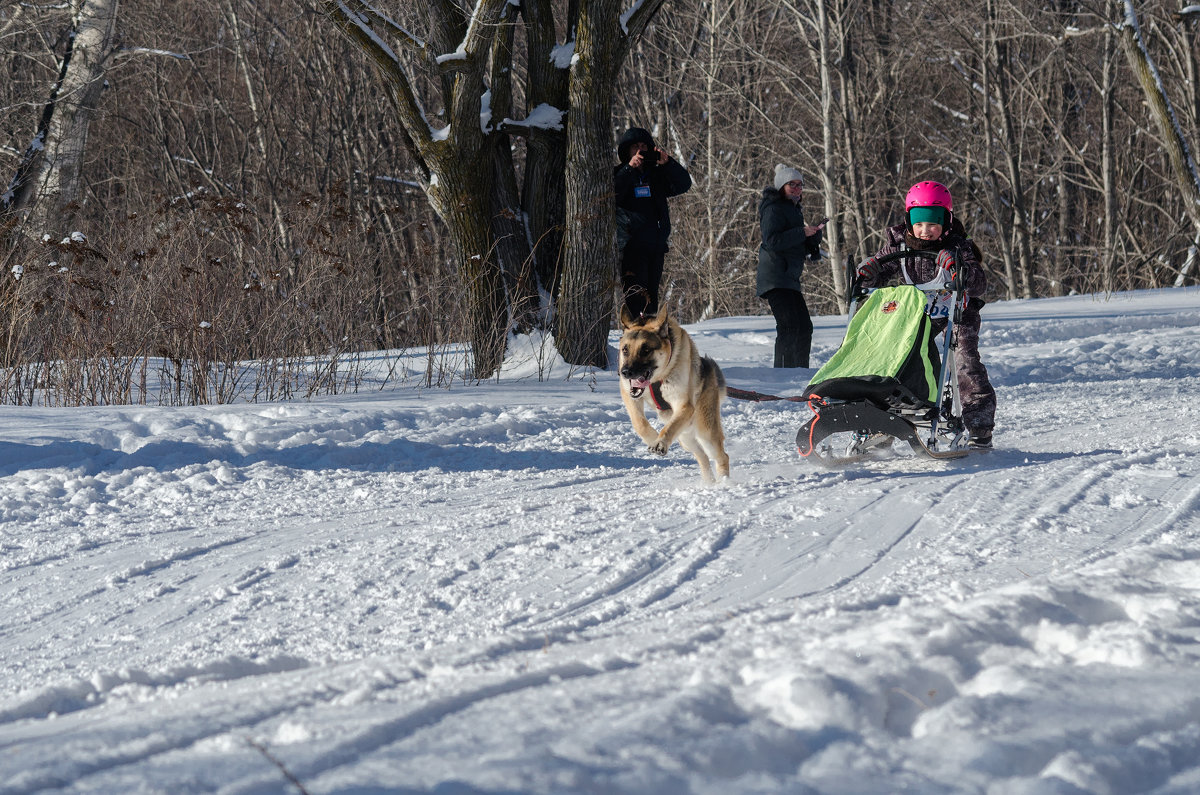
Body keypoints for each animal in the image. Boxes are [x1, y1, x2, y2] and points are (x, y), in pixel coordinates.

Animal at [619, 303, 729, 480]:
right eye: (625, 350)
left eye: (646, 350)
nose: (626, 372)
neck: (658, 378)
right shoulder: (630, 397)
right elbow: (639, 423)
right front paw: (652, 438)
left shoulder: (684, 405)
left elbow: (668, 428)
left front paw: (659, 442)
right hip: (685, 438)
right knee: (702, 456)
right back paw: (708, 482)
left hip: (706, 433)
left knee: (721, 457)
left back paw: (725, 482)